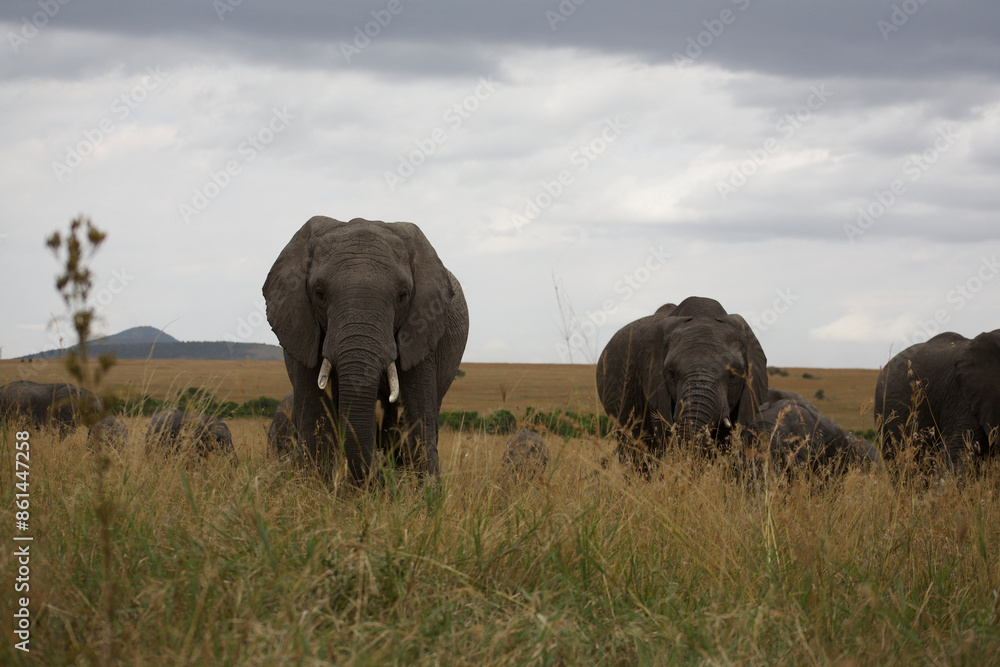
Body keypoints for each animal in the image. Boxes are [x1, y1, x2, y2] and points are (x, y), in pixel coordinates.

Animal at [262, 216, 469, 483]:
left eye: (403, 295)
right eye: (319, 293)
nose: (376, 477)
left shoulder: (423, 327)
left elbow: (416, 419)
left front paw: (424, 492)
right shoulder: (301, 324)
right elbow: (315, 416)